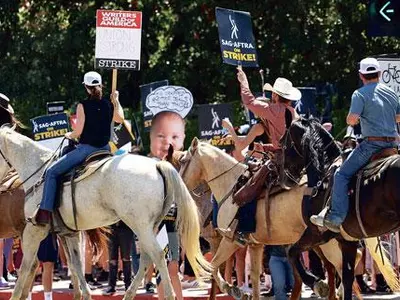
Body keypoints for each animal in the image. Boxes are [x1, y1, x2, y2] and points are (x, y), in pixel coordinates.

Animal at [0, 127, 212, 300]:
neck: (38, 170)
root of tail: (157, 165)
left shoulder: (33, 231)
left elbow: (26, 265)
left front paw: (16, 295)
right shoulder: (69, 233)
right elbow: (76, 264)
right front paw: (84, 295)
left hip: (140, 226)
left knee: (157, 256)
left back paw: (166, 295)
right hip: (150, 227)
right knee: (146, 258)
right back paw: (128, 295)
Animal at [278, 112, 400, 300]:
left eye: (282, 142)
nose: (285, 179)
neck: (323, 172)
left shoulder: (316, 233)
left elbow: (291, 252)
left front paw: (317, 283)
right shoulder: (347, 240)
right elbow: (348, 277)